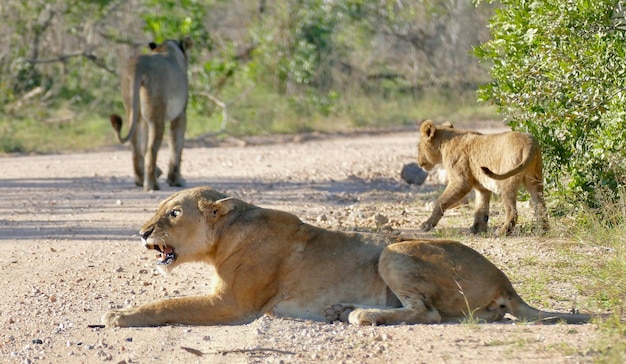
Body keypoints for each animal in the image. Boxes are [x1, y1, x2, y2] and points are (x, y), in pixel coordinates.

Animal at [110, 36, 193, 191]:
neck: (167, 48)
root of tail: (138, 64)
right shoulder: (180, 115)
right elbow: (176, 146)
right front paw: (176, 180)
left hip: (133, 111)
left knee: (136, 147)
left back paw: (140, 179)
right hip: (157, 116)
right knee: (151, 150)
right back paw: (151, 184)